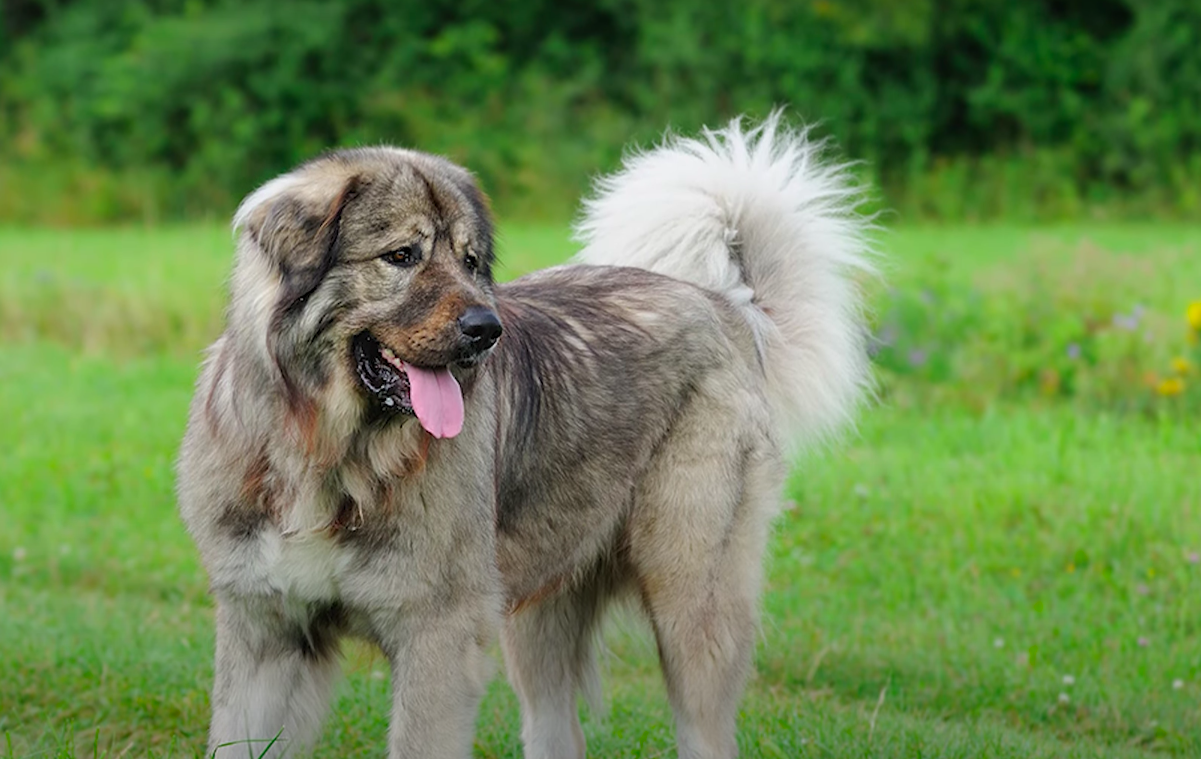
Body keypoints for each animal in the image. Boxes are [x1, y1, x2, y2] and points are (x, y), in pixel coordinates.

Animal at [175, 114, 874, 758]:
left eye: (469, 262)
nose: (487, 330)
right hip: (539, 612)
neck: (332, 452)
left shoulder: (437, 642)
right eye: (402, 256)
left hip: (693, 607)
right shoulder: (267, 638)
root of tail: (727, 306)